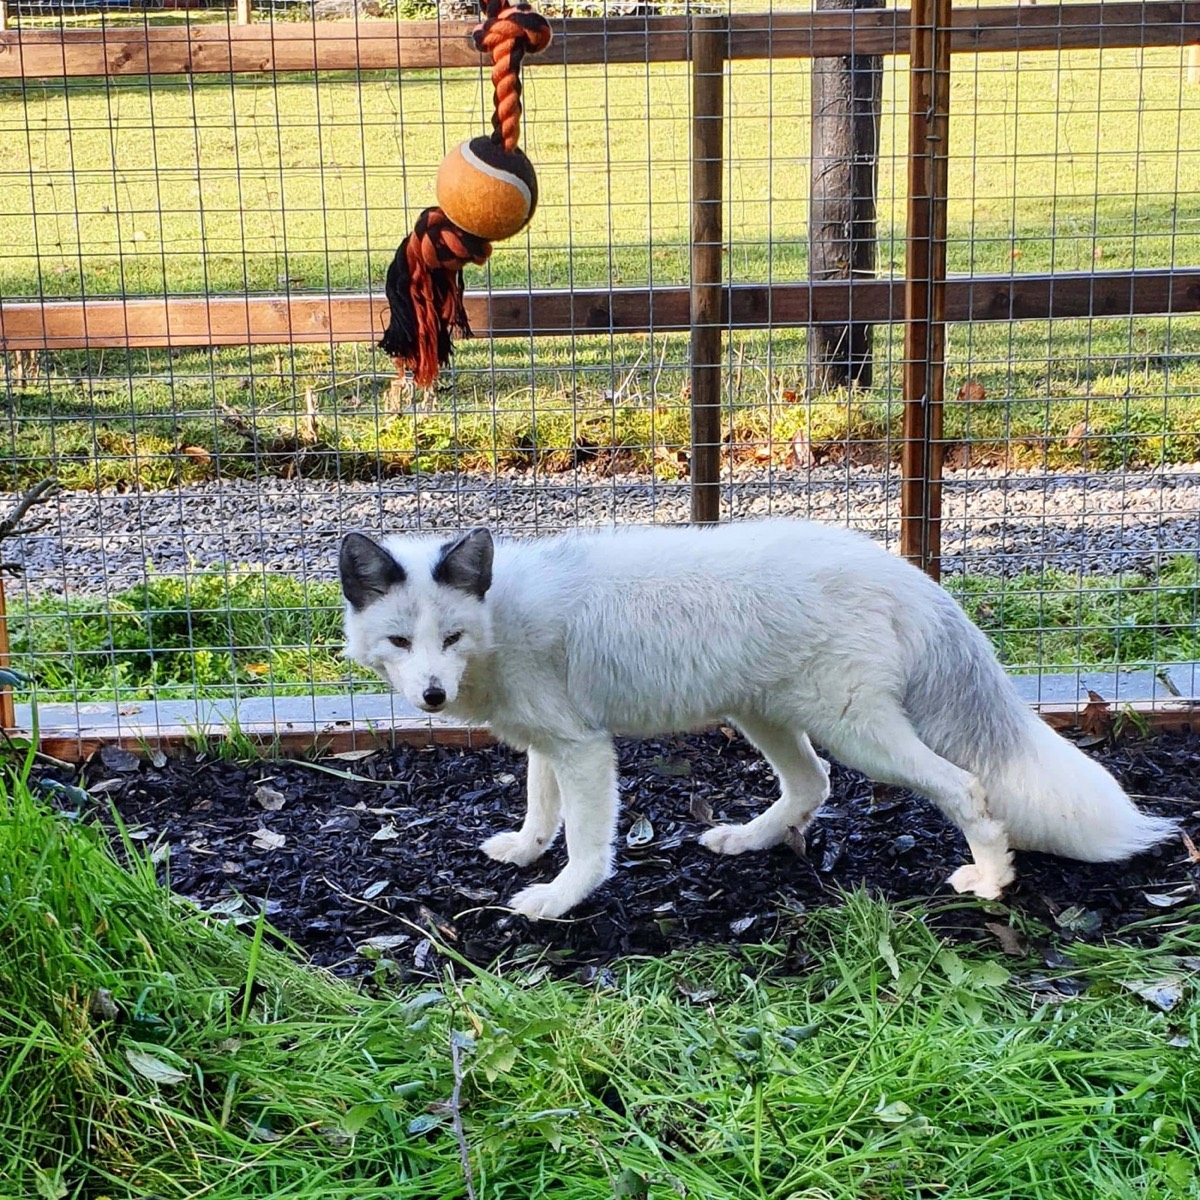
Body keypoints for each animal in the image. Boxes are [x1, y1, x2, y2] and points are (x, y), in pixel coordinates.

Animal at [339, 519, 1176, 921]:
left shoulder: (584, 750)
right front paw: (522, 850)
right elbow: (540, 809)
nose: (431, 697)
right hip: (768, 717)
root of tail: (901, 572)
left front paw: (559, 898)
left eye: (449, 637)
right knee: (814, 786)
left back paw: (994, 880)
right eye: (401, 642)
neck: (501, 616)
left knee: (965, 787)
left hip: (858, 731)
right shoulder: (547, 743)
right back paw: (749, 839)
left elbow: (586, 843)